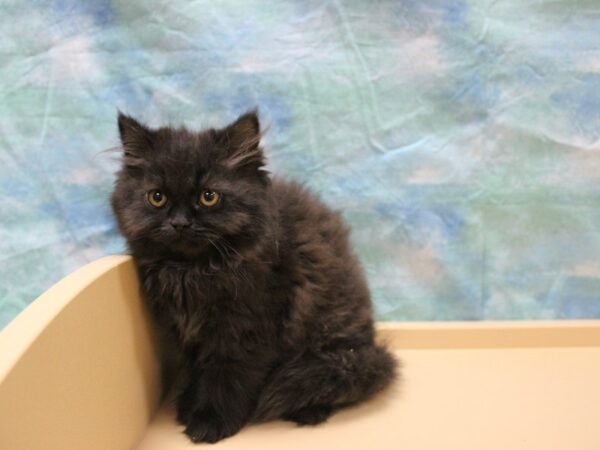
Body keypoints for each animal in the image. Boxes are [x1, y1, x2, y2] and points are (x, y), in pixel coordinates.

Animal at [111, 111, 398, 442]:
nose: (179, 223)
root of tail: (368, 346)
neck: (193, 270)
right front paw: (188, 404)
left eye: (208, 197)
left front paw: (209, 422)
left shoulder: (245, 329)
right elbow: (198, 370)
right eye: (157, 198)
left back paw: (309, 411)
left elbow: (226, 374)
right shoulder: (189, 332)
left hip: (328, 341)